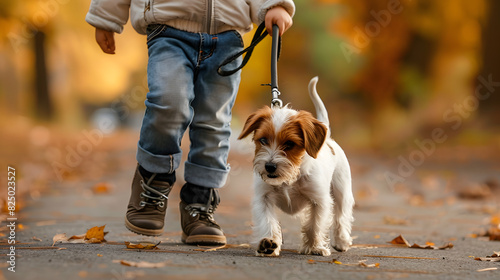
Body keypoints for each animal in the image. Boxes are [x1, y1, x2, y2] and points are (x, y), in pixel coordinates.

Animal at [238, 76, 356, 256]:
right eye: (263, 140)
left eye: (289, 144)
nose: (269, 166)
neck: (290, 178)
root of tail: (328, 137)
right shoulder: (263, 198)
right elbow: (267, 221)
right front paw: (268, 243)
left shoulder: (319, 200)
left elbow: (314, 225)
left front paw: (314, 247)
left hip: (342, 191)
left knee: (342, 216)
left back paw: (341, 241)